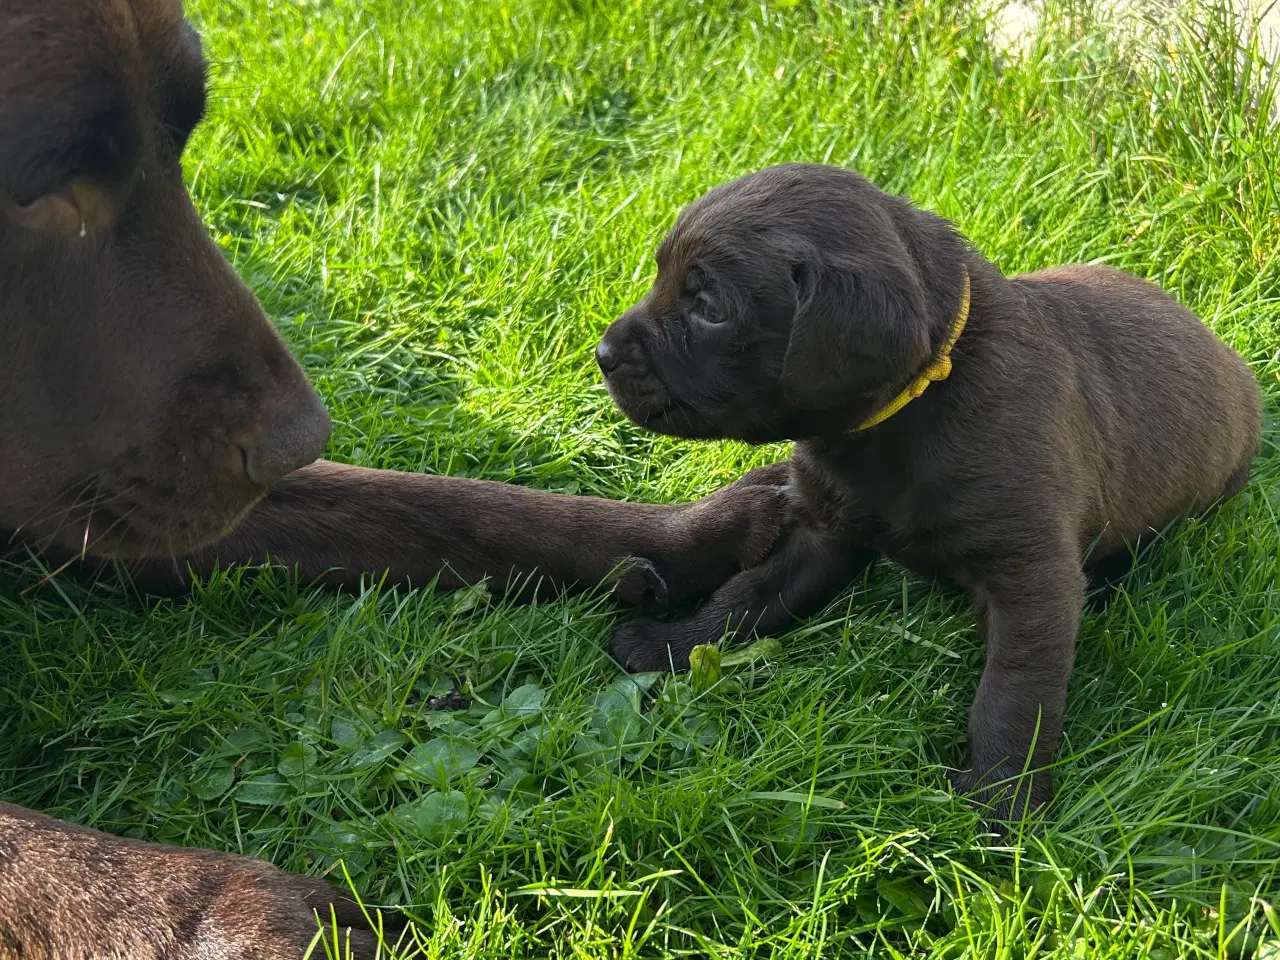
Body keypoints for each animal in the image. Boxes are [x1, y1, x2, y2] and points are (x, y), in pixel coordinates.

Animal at [0, 1, 788, 957]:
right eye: (37, 187)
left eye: (180, 144)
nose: (299, 440)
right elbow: (23, 847)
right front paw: (226, 917)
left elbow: (440, 503)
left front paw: (691, 535)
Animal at [596, 163, 1259, 819]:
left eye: (708, 306)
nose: (602, 353)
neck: (912, 408)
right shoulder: (821, 533)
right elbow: (745, 597)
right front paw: (671, 644)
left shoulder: (1030, 576)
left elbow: (1013, 692)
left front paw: (1002, 800)